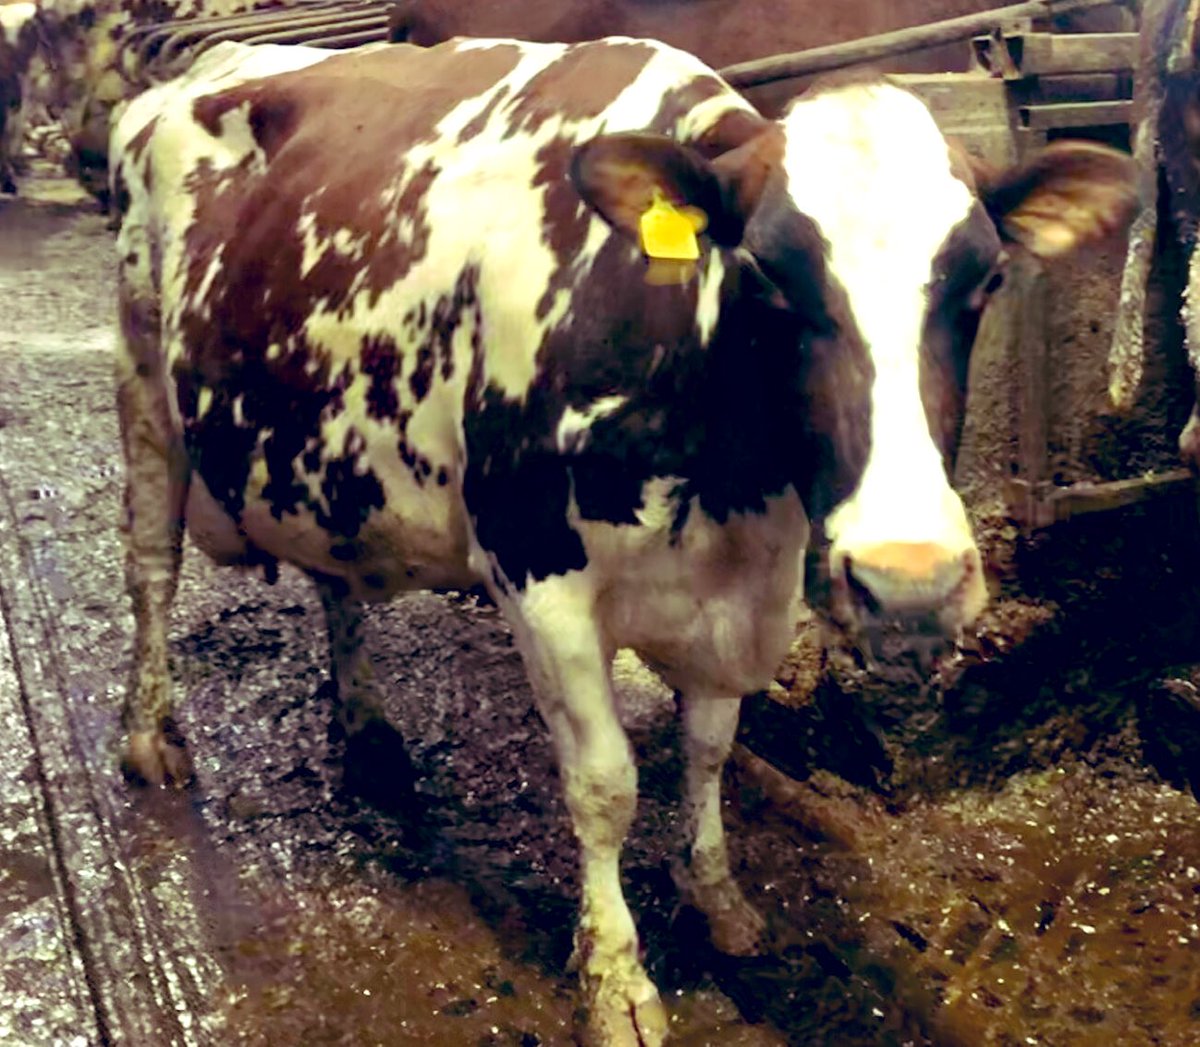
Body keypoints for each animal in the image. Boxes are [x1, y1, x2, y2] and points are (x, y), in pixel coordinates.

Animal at [111, 36, 1136, 1044]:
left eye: (986, 279)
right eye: (765, 275)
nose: (910, 584)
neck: (725, 487)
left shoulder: (747, 588)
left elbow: (710, 747)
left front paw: (716, 897)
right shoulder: (536, 570)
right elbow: (605, 785)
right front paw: (616, 978)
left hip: (329, 444)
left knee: (334, 578)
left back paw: (366, 736)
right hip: (144, 382)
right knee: (151, 568)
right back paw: (150, 738)